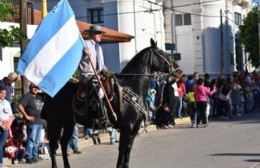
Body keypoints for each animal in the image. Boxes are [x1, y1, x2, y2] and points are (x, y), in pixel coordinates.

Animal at [42, 38, 179, 167]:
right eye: (162, 53)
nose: (178, 70)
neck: (132, 87)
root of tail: (51, 94)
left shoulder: (134, 128)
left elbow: (128, 149)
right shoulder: (126, 127)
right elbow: (122, 149)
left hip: (69, 123)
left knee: (63, 143)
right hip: (56, 122)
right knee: (53, 145)